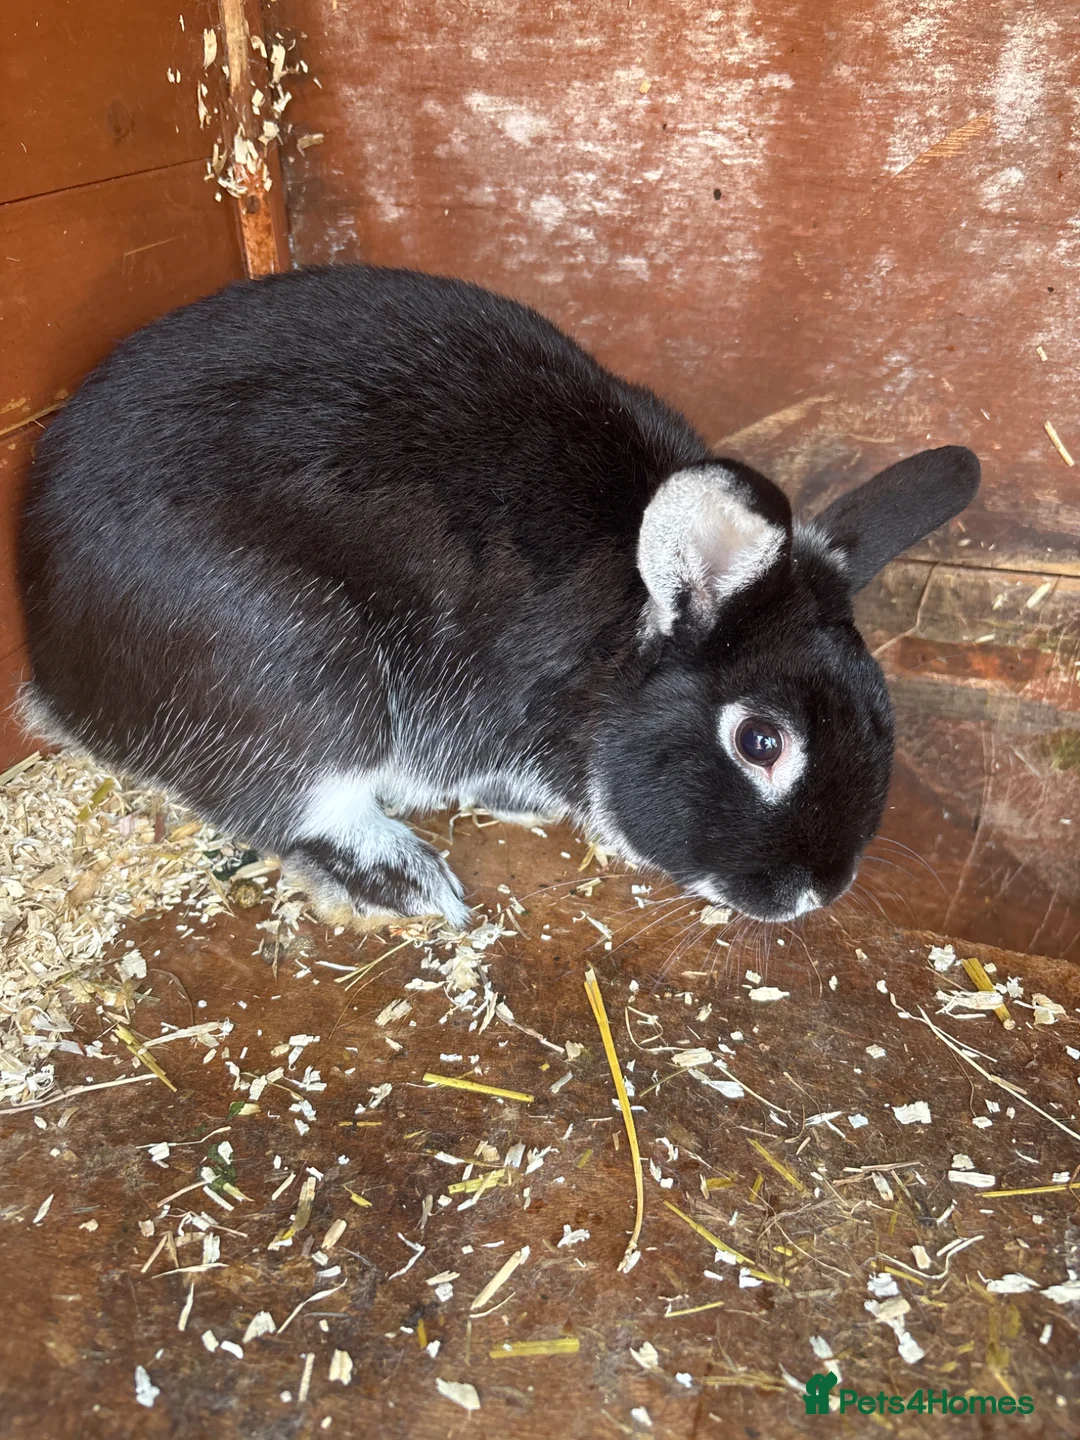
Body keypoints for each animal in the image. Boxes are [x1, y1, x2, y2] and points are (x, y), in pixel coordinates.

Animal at [18, 265, 979, 930]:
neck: (610, 646)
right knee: (294, 804)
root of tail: (54, 667)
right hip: (300, 670)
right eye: (761, 742)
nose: (818, 891)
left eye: (883, 716)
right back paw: (413, 882)